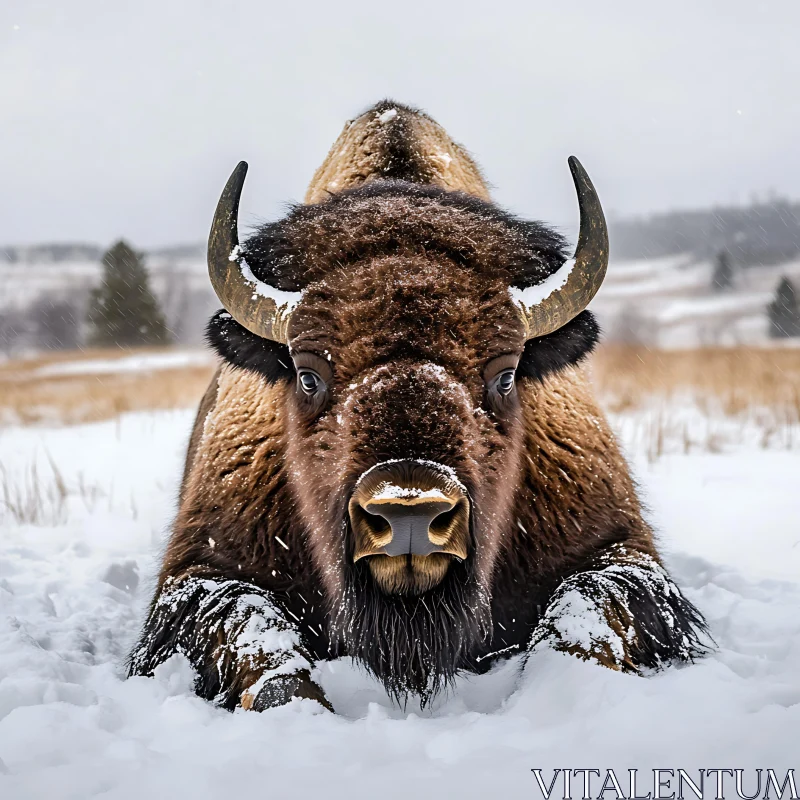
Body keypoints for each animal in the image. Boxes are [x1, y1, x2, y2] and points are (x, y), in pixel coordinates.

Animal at [130, 103, 708, 708]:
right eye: (308, 375)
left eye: (506, 375)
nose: (410, 513)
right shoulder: (204, 569)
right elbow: (258, 639)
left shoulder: (617, 549)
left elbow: (585, 619)